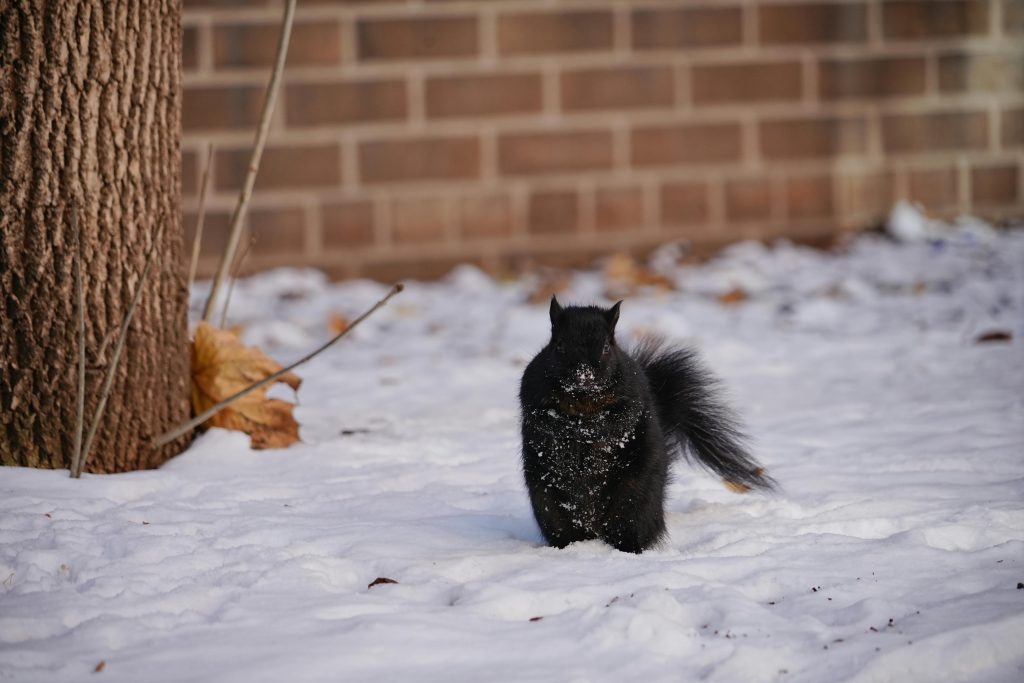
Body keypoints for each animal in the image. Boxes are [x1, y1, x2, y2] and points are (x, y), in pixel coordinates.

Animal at [519, 297, 775, 553]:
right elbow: (545, 419)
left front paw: (592, 429)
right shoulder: (533, 392)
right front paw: (571, 429)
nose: (584, 374)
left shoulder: (632, 396)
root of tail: (594, 530)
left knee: (630, 529)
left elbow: (619, 421)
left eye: (606, 347)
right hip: (548, 504)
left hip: (634, 501)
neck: (583, 402)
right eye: (560, 345)